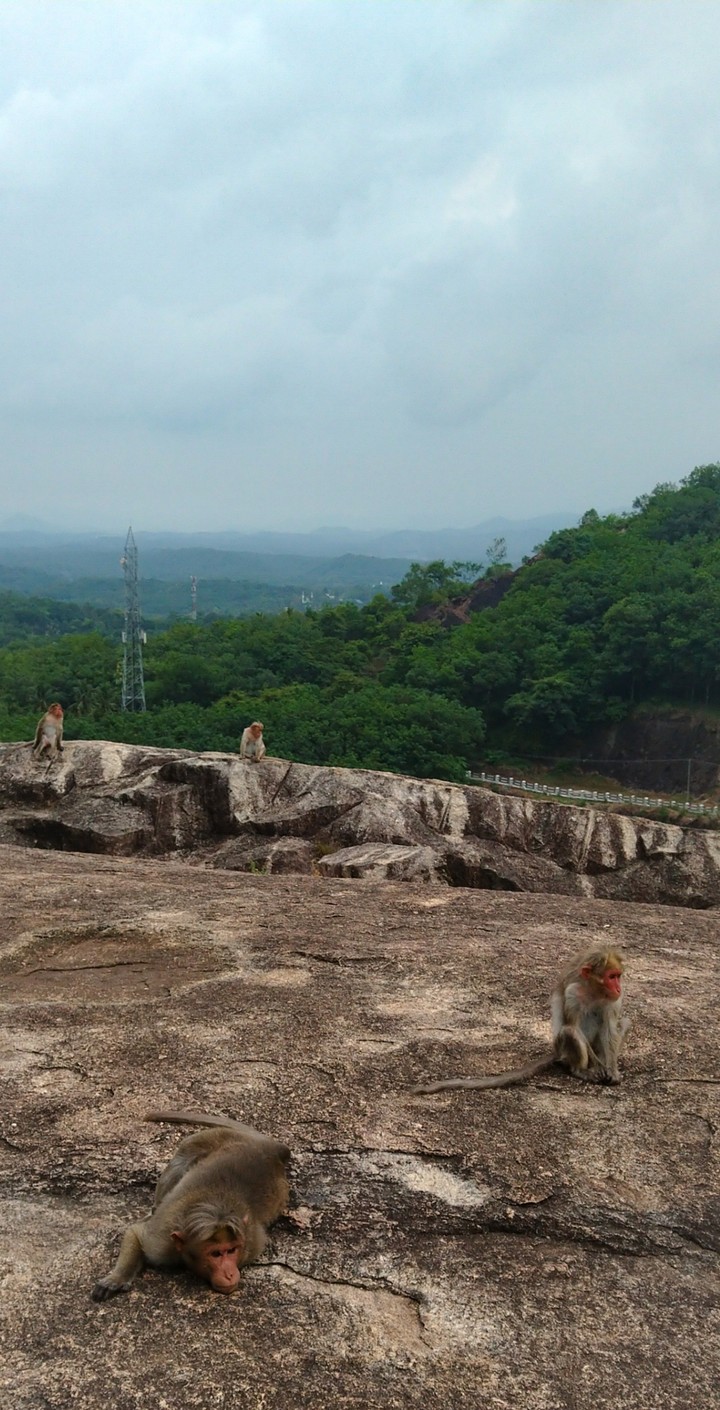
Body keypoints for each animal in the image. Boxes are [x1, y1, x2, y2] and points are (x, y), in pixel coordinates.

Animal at [92, 1110, 290, 1301]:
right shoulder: (161, 1242)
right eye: (216, 1254)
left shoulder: (252, 1242)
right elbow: (136, 1234)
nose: (229, 1274)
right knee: (184, 1156)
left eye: (232, 1250)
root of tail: (270, 1147)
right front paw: (117, 1278)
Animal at [413, 947, 629, 1094]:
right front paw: (599, 1068)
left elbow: (610, 1028)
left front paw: (612, 1071)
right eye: (611, 977)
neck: (594, 991)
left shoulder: (613, 1001)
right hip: (564, 1050)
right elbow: (573, 1025)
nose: (619, 988)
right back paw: (581, 1070)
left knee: (622, 1024)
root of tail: (558, 1053)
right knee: (570, 1032)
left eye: (618, 976)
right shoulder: (573, 992)